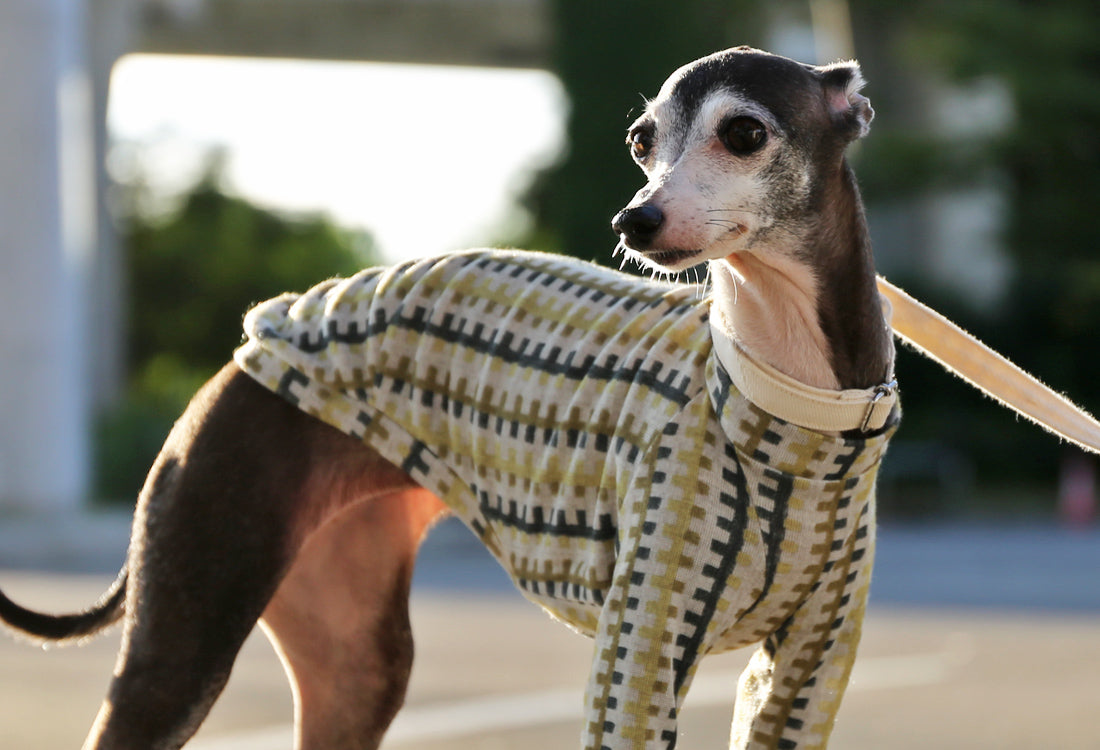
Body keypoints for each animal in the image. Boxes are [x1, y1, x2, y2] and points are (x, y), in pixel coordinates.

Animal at [0, 48, 893, 747]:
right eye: (643, 140)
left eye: (743, 131)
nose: (635, 220)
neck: (787, 405)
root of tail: (255, 343)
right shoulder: (639, 652)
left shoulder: (804, 672)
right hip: (186, 633)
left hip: (356, 658)